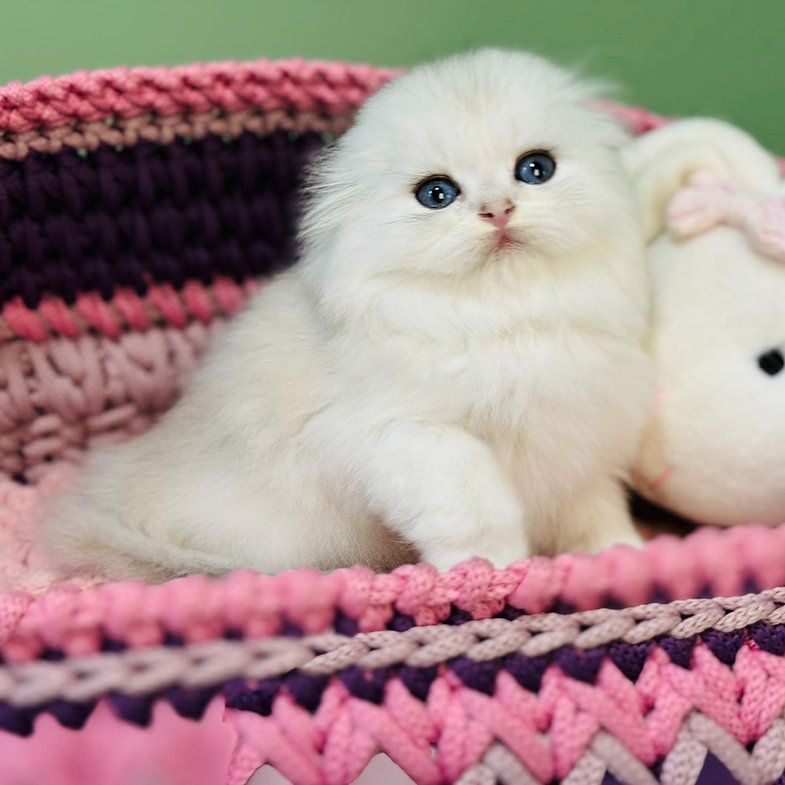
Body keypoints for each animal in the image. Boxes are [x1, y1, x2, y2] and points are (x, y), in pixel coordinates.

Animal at [44, 47, 656, 576]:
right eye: (437, 195)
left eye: (535, 170)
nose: (498, 211)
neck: (505, 317)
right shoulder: (400, 436)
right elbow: (478, 507)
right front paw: (491, 572)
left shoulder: (579, 449)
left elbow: (597, 517)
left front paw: (626, 558)